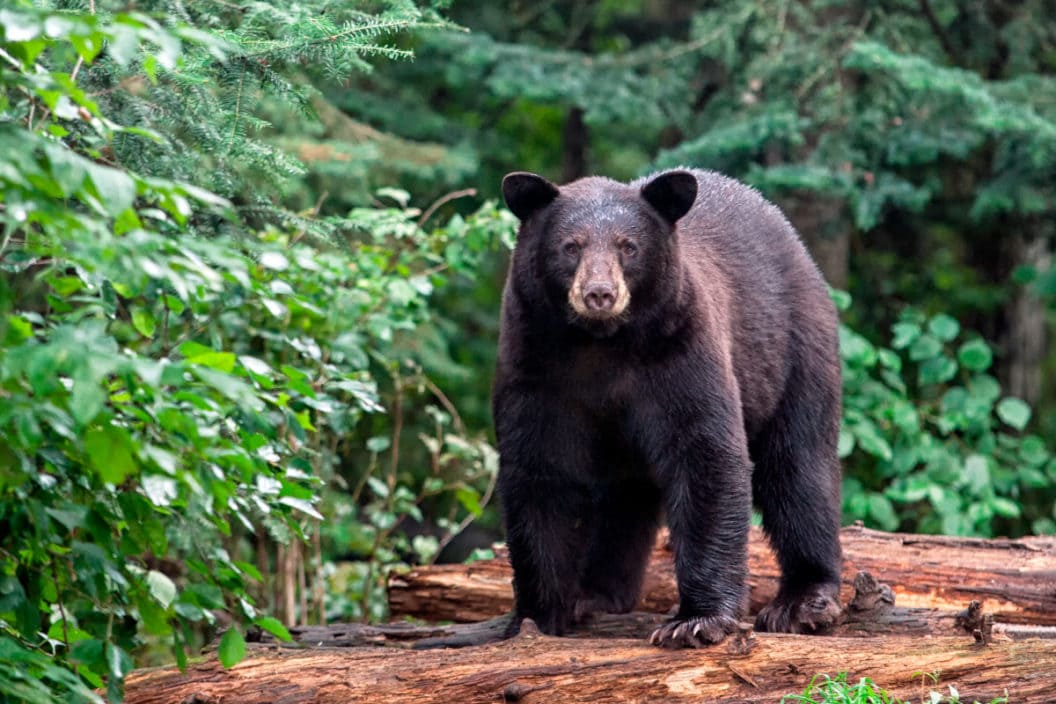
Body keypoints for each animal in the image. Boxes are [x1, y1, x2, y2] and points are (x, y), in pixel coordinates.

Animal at [489, 167, 844, 645]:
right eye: (571, 246)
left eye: (628, 246)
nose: (599, 293)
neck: (600, 344)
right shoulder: (534, 363)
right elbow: (539, 472)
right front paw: (535, 617)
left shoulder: (678, 350)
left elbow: (706, 453)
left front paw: (696, 620)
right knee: (623, 497)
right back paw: (596, 595)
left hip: (793, 351)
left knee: (799, 467)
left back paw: (803, 600)